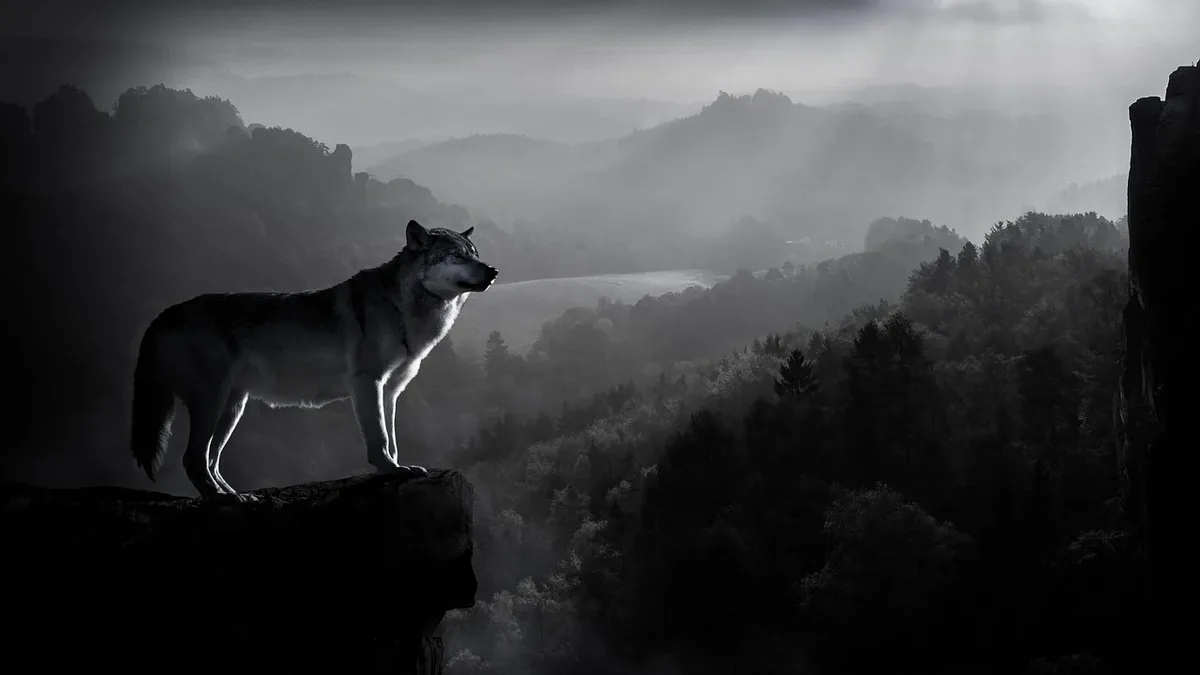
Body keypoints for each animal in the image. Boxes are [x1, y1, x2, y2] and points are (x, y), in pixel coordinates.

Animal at [129, 219, 498, 500]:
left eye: (476, 255)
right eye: (456, 256)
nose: (493, 270)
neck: (402, 308)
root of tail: (164, 313)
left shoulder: (391, 391)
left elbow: (392, 438)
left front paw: (397, 468)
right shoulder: (368, 383)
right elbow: (379, 438)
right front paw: (390, 470)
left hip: (233, 407)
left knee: (211, 459)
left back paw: (235, 495)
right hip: (213, 402)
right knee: (193, 459)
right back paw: (221, 500)